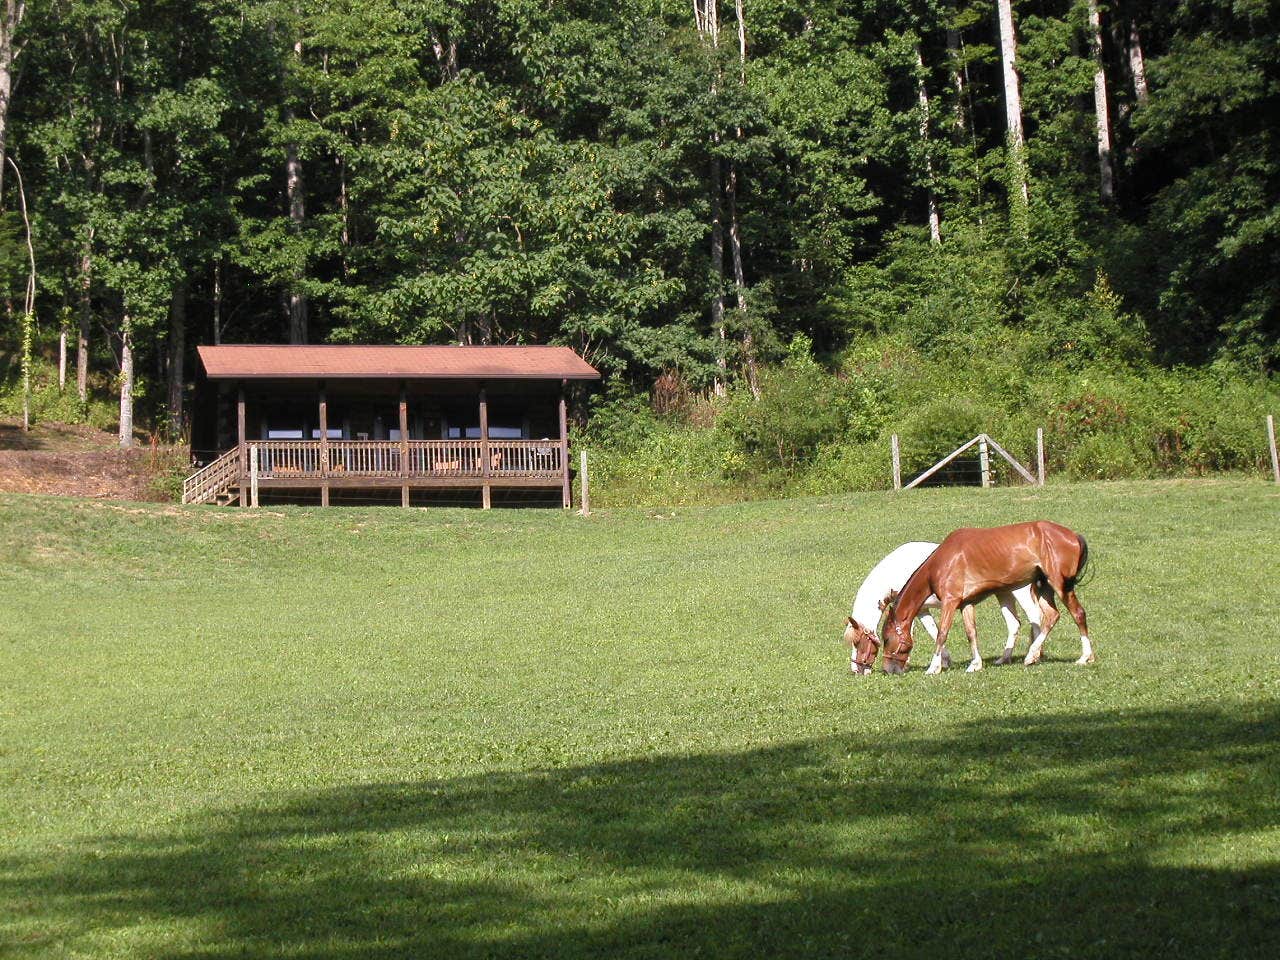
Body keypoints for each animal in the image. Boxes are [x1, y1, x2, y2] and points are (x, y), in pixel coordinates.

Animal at [849, 527, 1090, 675]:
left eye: (886, 639)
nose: (857, 670)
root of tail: (1073, 535)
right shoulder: (954, 605)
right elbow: (965, 632)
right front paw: (970, 663)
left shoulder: (941, 604)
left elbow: (939, 633)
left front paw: (934, 666)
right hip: (1013, 593)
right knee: (1021, 623)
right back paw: (1012, 657)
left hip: (1039, 589)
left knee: (1051, 617)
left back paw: (1060, 656)